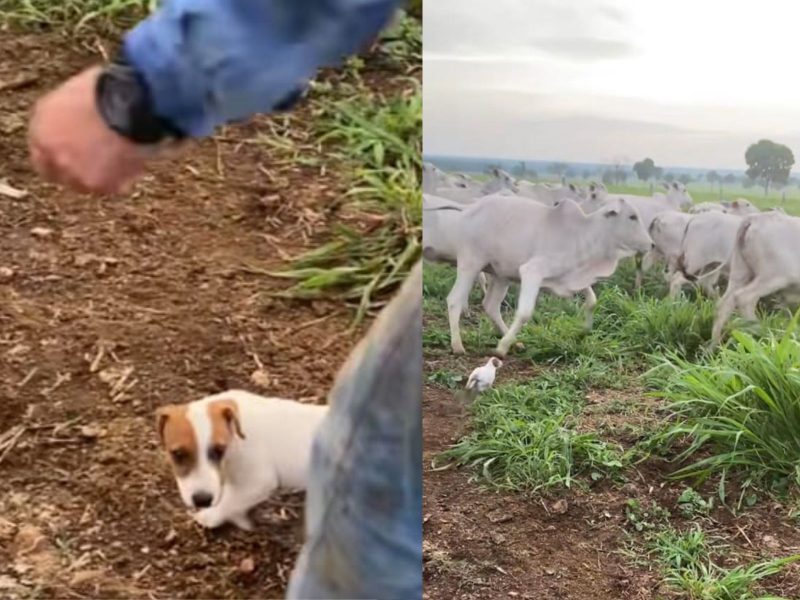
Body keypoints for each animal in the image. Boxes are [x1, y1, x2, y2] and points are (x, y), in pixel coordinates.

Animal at [155, 390, 326, 528]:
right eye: (177, 454)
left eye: (220, 450)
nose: (202, 500)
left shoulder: (258, 482)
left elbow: (231, 500)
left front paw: (210, 516)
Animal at [444, 197, 656, 356]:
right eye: (632, 216)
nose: (652, 244)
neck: (583, 235)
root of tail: (469, 208)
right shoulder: (532, 272)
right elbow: (525, 312)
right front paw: (501, 348)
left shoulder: (573, 278)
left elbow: (592, 301)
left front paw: (583, 331)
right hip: (470, 263)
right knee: (454, 300)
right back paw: (458, 346)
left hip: (501, 275)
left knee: (490, 305)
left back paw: (515, 342)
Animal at [712, 211, 800, 344]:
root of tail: (755, 218)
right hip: (773, 277)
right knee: (744, 298)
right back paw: (760, 333)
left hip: (740, 272)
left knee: (724, 303)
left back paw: (715, 345)